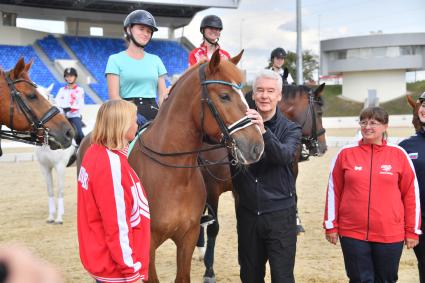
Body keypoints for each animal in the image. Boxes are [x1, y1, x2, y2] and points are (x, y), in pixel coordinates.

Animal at [34, 84, 76, 224]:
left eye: (47, 97)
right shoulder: (45, 168)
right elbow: (50, 190)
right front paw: (51, 217)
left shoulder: (60, 166)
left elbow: (60, 190)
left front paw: (59, 218)